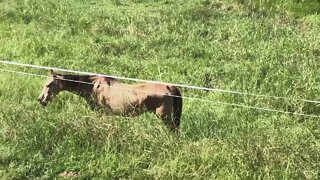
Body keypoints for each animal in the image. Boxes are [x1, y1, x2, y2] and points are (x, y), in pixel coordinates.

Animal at [37, 70, 182, 131]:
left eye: (48, 85)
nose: (40, 99)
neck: (93, 86)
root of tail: (170, 86)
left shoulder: (100, 112)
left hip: (164, 117)